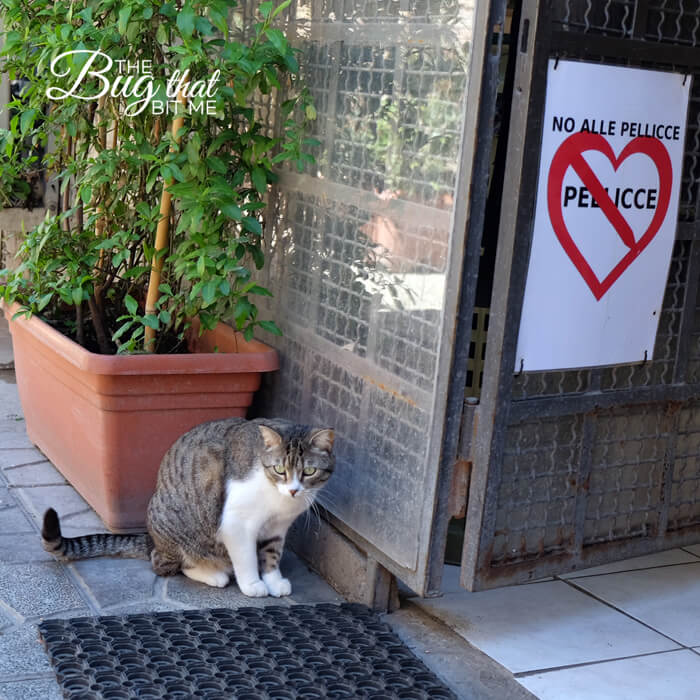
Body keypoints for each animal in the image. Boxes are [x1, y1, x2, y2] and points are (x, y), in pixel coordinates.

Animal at [41, 418, 336, 600]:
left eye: (309, 471)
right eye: (279, 469)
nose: (294, 490)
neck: (279, 500)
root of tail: (152, 540)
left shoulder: (277, 528)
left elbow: (272, 555)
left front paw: (274, 580)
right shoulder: (236, 523)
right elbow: (247, 558)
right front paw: (253, 584)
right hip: (181, 532)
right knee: (166, 564)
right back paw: (213, 574)